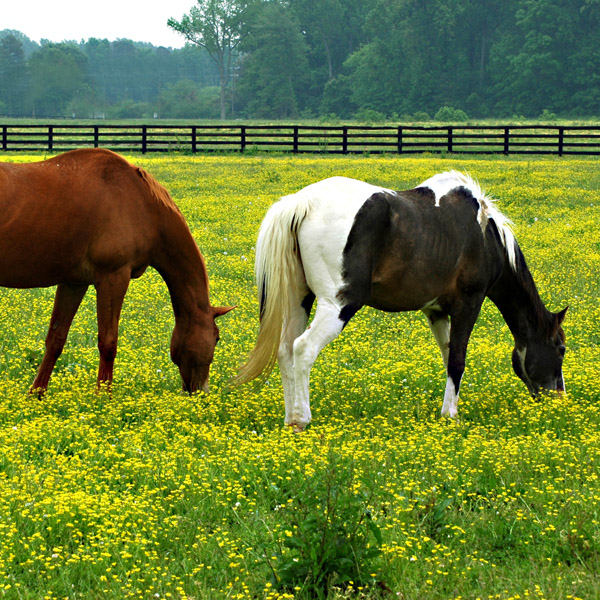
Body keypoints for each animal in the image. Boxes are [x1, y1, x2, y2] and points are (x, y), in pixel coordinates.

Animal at [0, 148, 233, 394]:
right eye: (217, 338)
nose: (202, 392)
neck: (142, 202)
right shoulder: (113, 278)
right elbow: (108, 342)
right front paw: (103, 396)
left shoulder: (74, 283)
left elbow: (56, 338)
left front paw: (36, 395)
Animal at [238, 171, 568, 428]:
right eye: (561, 349)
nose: (558, 398)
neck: (484, 233)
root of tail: (302, 202)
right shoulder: (468, 304)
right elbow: (458, 360)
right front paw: (450, 415)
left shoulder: (437, 312)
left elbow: (448, 356)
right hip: (338, 306)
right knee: (303, 348)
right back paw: (301, 419)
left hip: (299, 301)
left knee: (285, 350)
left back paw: (289, 417)